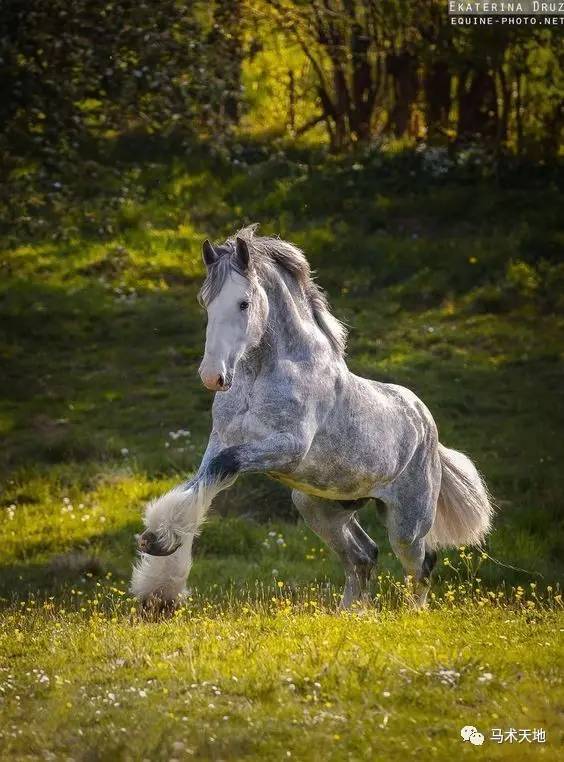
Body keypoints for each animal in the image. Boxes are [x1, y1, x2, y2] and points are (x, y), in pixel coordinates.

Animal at [130, 226, 492, 604]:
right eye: (205, 302)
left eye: (244, 302)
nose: (212, 376)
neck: (262, 374)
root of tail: (428, 429)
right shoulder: (222, 441)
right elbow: (202, 481)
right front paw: (157, 561)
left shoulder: (288, 448)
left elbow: (222, 468)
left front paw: (160, 549)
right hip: (319, 507)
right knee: (364, 556)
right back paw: (348, 613)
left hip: (407, 523)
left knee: (421, 565)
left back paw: (412, 615)